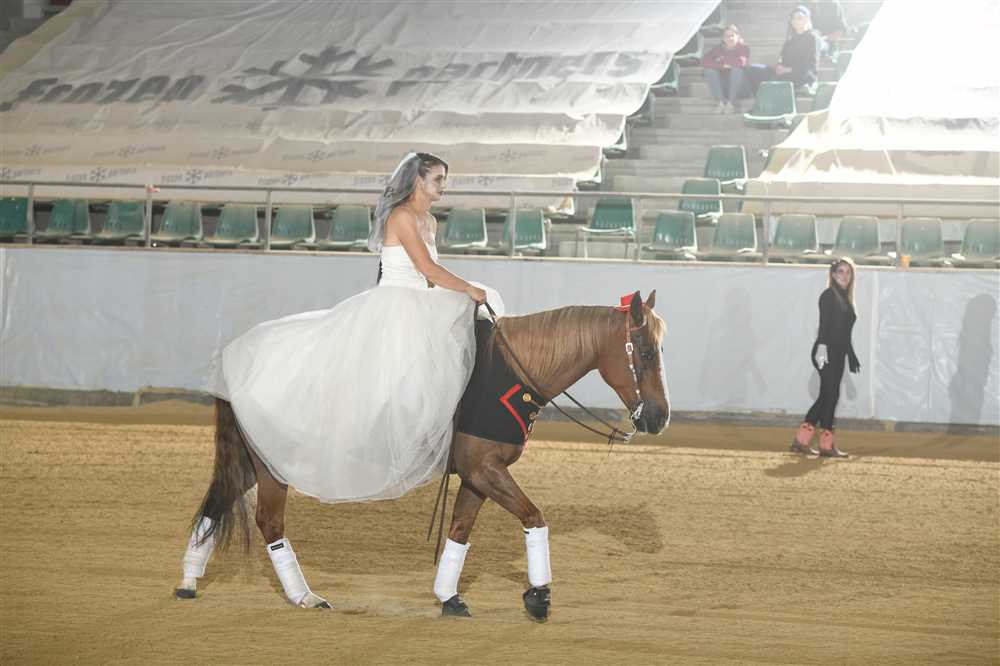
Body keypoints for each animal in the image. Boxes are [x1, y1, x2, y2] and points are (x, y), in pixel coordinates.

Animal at [174, 290, 670, 621]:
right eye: (645, 351)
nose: (659, 417)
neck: (513, 371)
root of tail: (235, 356)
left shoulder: (476, 474)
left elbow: (460, 532)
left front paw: (449, 596)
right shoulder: (485, 469)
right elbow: (534, 517)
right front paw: (539, 596)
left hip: (254, 458)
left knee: (216, 505)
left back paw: (188, 582)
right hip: (273, 465)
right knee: (269, 523)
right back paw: (304, 596)